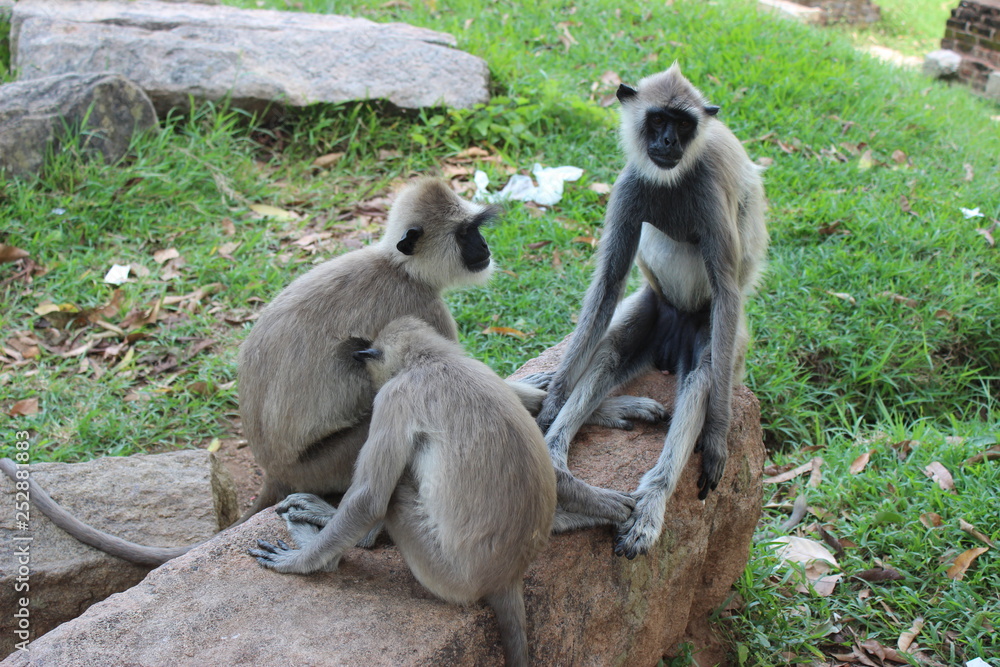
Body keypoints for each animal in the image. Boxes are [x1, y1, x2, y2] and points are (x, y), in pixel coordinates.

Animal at [250, 318, 560, 667]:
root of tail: (507, 577)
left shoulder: (392, 396)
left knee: (392, 494)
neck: (432, 361)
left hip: (444, 573)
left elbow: (369, 501)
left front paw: (297, 561)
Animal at [536, 65, 768, 560]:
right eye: (659, 119)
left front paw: (716, 438)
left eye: (683, 124)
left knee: (703, 374)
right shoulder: (629, 185)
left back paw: (647, 510)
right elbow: (607, 284)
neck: (672, 179)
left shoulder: (707, 188)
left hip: (716, 339)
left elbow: (728, 294)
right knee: (610, 352)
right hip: (653, 308)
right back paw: (559, 456)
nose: (666, 142)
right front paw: (553, 400)